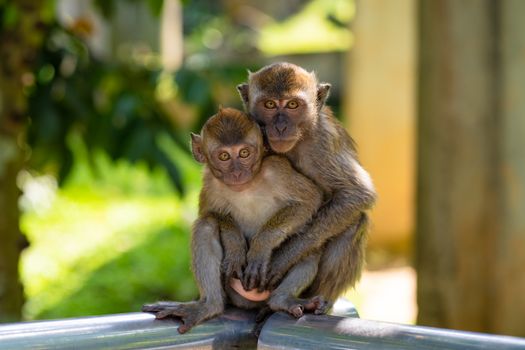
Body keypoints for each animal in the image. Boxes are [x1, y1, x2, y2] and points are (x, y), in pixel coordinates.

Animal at [143, 108, 324, 332]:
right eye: (224, 156)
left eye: (244, 153)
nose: (237, 172)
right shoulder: (210, 181)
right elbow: (209, 213)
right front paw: (235, 244)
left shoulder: (277, 169)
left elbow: (310, 200)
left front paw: (261, 247)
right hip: (232, 292)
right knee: (205, 226)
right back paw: (209, 305)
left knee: (311, 245)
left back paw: (282, 300)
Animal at [237, 63, 376, 304]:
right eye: (269, 104)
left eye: (293, 105)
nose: (281, 126)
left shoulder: (323, 142)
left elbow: (356, 194)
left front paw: (278, 259)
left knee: (356, 220)